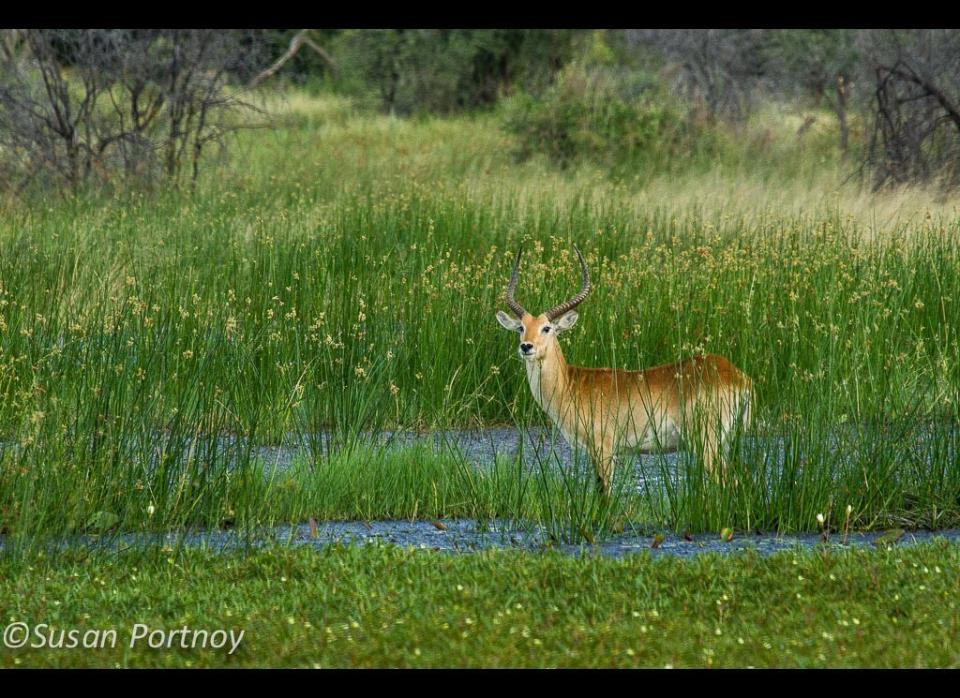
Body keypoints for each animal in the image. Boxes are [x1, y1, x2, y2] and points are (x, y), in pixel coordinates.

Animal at [498, 245, 752, 490]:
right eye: (521, 327)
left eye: (547, 328)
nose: (526, 346)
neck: (569, 385)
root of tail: (737, 375)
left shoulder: (604, 449)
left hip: (707, 445)